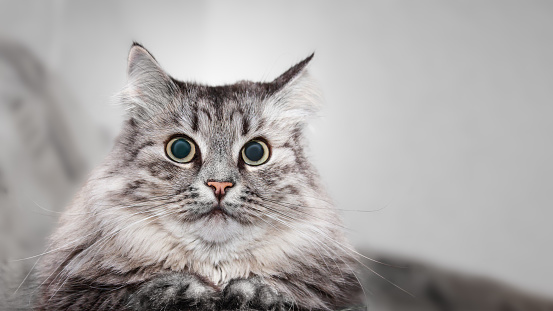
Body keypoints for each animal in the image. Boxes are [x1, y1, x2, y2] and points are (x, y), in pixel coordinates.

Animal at [33, 44, 362, 311]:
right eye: (180, 149)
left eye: (255, 152)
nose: (219, 185)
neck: (215, 275)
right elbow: (145, 293)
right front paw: (189, 291)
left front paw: (254, 293)